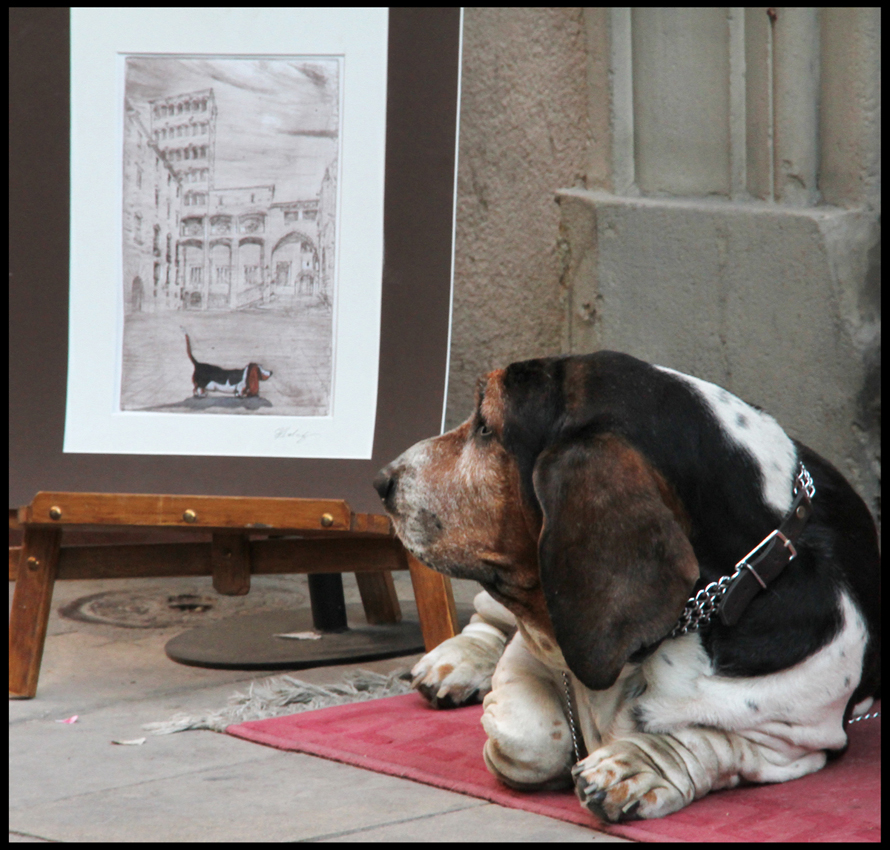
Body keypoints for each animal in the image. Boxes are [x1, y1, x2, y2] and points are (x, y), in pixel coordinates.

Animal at [372, 348, 876, 820]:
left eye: (484, 428)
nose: (381, 480)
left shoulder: (792, 737)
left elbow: (706, 738)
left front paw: (636, 768)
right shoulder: (532, 650)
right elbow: (531, 734)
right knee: (487, 619)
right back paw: (456, 662)